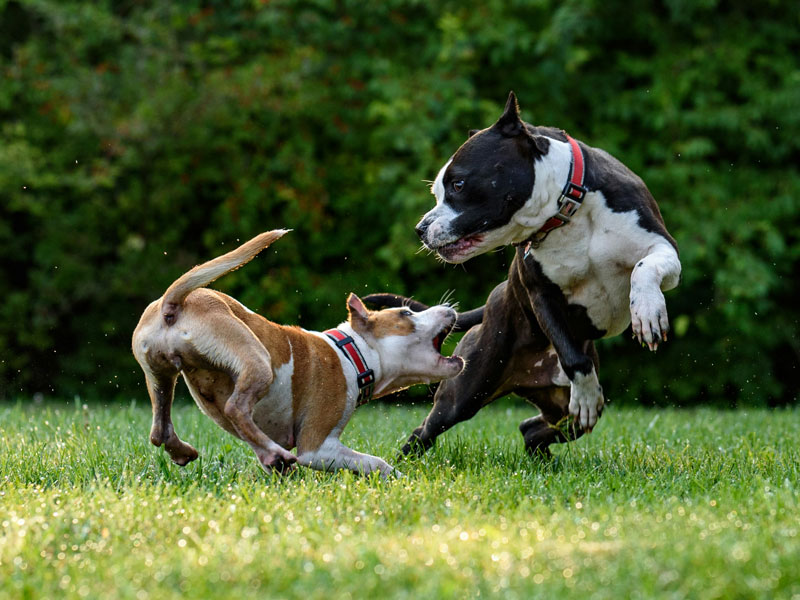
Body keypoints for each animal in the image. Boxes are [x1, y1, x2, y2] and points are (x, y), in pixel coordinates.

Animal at [131, 230, 462, 478]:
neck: (352, 353)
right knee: (236, 407)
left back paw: (193, 451)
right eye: (406, 313)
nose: (449, 308)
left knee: (160, 429)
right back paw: (274, 453)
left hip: (160, 375)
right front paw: (400, 480)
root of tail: (173, 304)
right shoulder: (317, 447)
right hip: (256, 359)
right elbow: (375, 463)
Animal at [366, 92, 680, 454]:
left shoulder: (663, 248)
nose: (420, 228)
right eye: (438, 192)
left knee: (533, 428)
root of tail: (493, 300)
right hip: (466, 390)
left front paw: (648, 312)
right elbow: (573, 358)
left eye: (458, 184)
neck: (567, 210)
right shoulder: (541, 294)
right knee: (427, 430)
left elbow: (644, 268)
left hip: (560, 410)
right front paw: (587, 394)